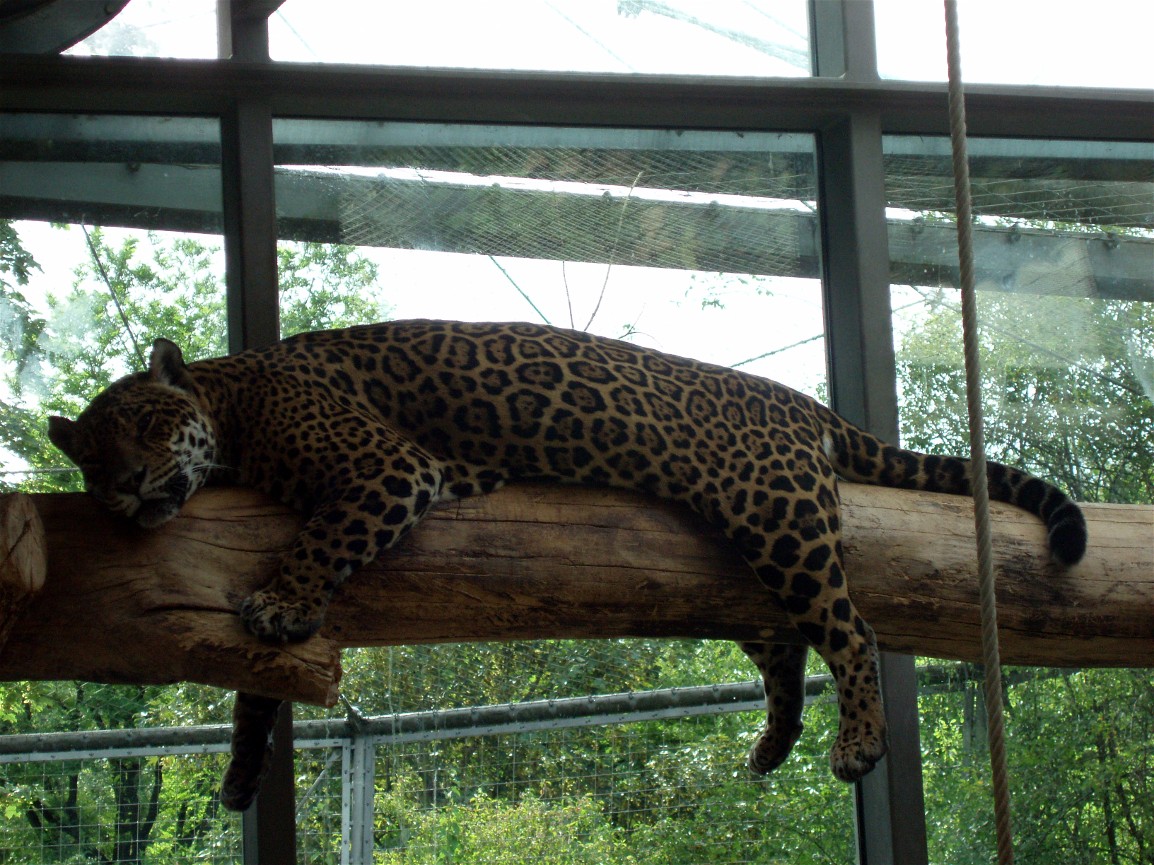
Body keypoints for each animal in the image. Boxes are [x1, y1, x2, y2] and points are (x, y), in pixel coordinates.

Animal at [47, 319, 1087, 812]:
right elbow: (258, 684)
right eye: (91, 459)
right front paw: (238, 772)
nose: (130, 485)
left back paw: (857, 742)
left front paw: (278, 603)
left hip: (776, 513)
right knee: (786, 642)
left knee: (852, 626)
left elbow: (316, 550)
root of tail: (803, 402)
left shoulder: (386, 469)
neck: (231, 397)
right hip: (747, 558)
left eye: (148, 424)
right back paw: (771, 742)